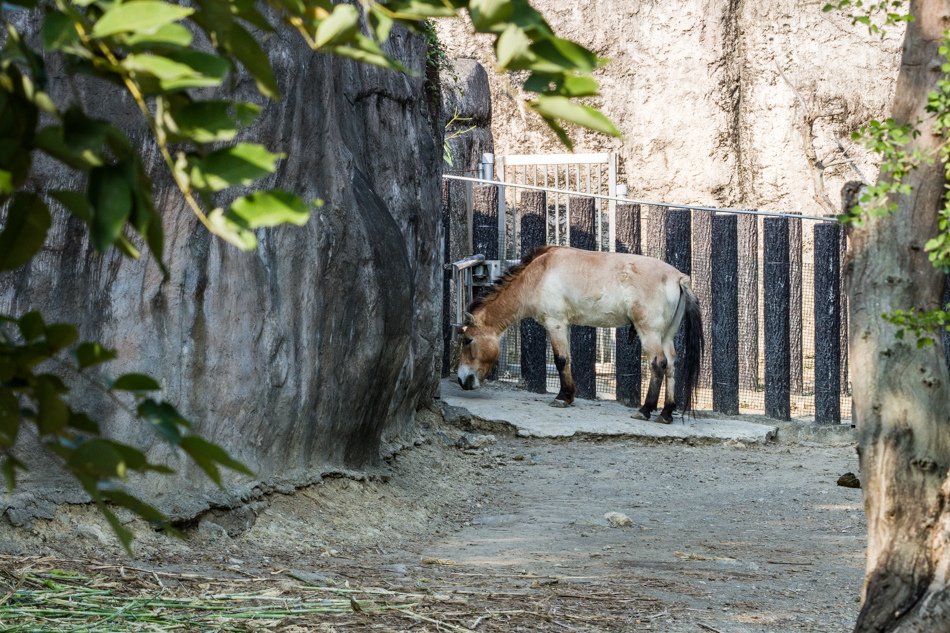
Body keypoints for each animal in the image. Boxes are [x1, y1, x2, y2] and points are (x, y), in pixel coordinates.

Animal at [458, 244, 704, 422]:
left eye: (468, 340)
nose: (462, 380)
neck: (538, 275)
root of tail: (678, 277)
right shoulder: (564, 325)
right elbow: (568, 360)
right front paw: (568, 396)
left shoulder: (555, 324)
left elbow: (560, 360)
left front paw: (562, 397)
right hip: (666, 335)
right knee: (671, 366)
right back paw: (666, 413)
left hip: (650, 333)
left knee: (658, 364)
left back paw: (645, 410)